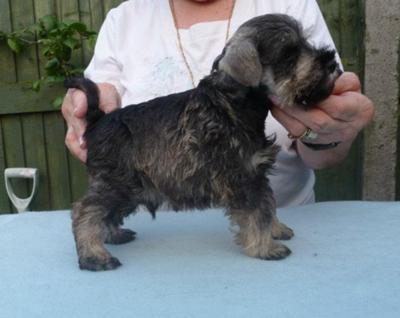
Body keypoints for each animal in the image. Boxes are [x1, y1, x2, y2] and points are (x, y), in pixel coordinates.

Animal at [65, 13, 340, 270]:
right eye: (289, 54)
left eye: (305, 42)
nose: (332, 64)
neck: (237, 104)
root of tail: (98, 120)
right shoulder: (242, 177)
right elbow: (256, 212)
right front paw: (265, 247)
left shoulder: (257, 173)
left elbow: (267, 203)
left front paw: (277, 230)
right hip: (116, 183)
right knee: (85, 212)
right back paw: (95, 256)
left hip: (128, 188)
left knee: (104, 213)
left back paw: (113, 236)